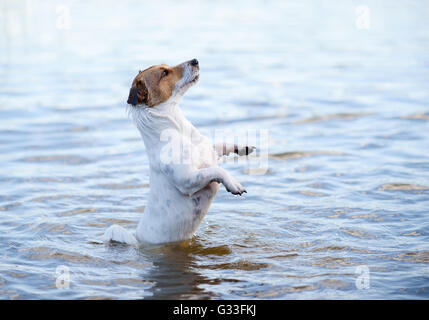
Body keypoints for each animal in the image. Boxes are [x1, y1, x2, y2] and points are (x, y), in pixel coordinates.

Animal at [102, 59, 252, 245]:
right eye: (164, 73)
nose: (195, 60)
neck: (178, 127)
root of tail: (137, 239)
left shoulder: (209, 152)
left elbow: (221, 145)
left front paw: (243, 148)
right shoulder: (187, 180)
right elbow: (217, 170)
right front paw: (234, 184)